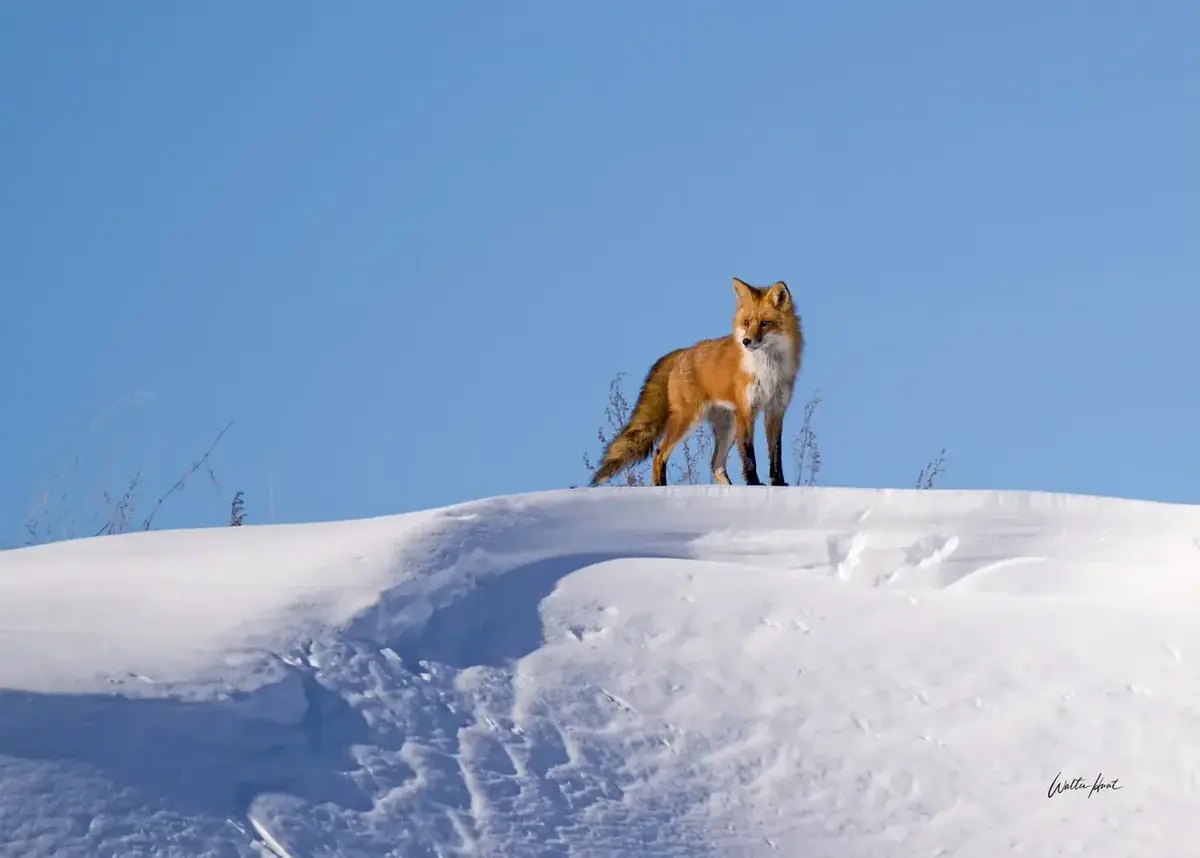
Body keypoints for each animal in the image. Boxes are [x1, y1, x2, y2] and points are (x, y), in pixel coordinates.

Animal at [590, 277, 804, 488]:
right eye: (746, 322)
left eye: (765, 323)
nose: (746, 341)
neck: (768, 369)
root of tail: (681, 352)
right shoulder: (746, 411)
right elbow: (748, 455)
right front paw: (754, 484)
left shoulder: (775, 411)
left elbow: (775, 454)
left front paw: (778, 484)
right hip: (688, 418)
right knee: (659, 454)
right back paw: (661, 488)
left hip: (726, 428)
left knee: (715, 464)